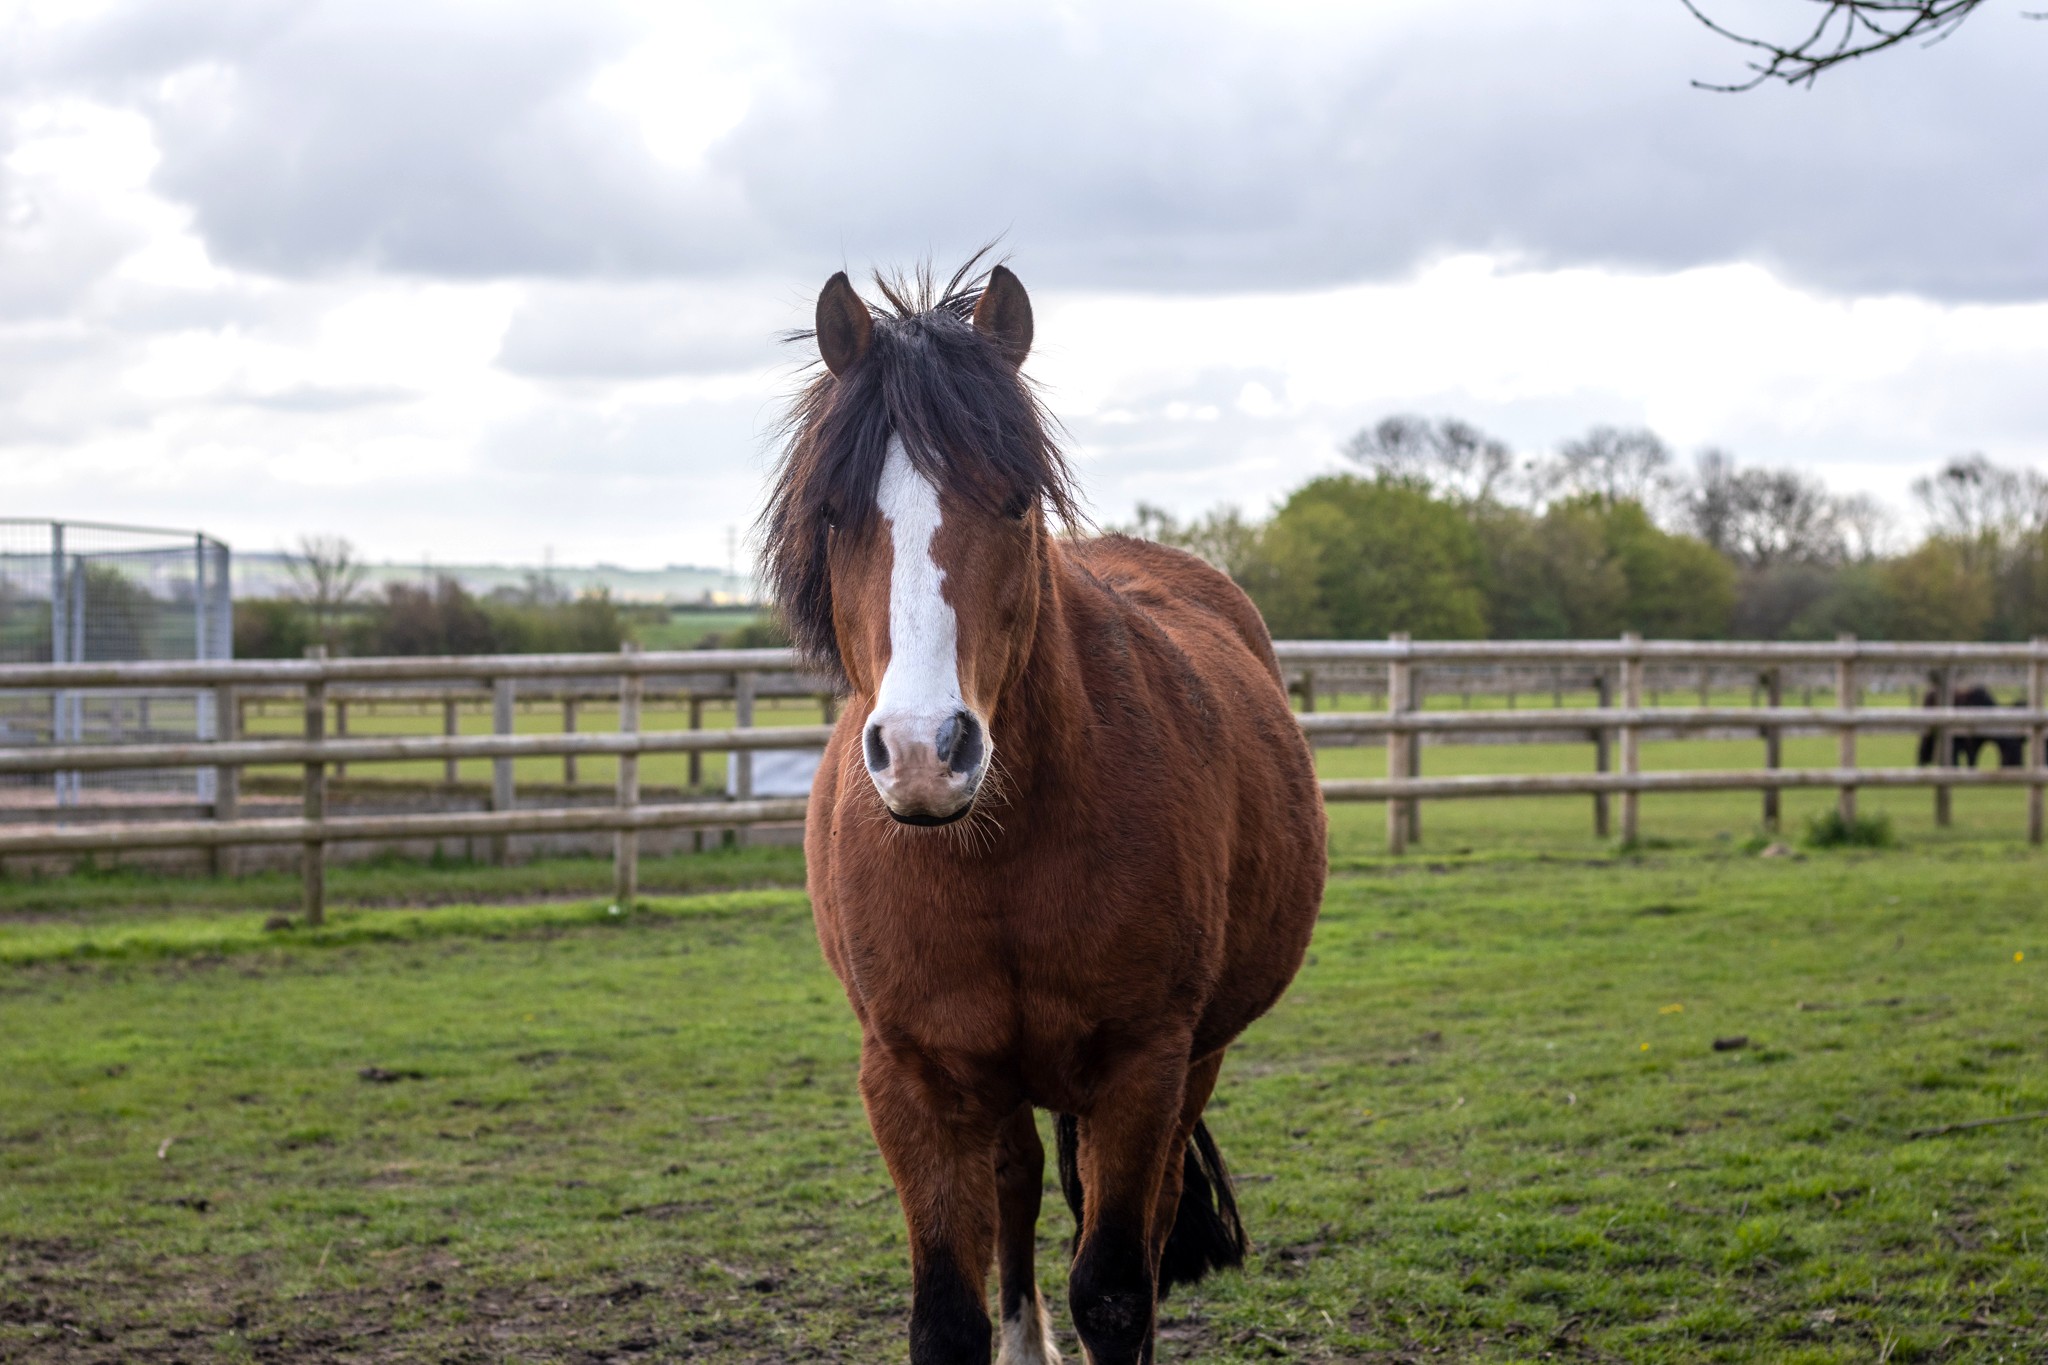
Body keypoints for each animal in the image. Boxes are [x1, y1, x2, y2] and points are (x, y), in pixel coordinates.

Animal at [761, 258, 1327, 1365]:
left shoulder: (1141, 1066)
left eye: (1016, 500)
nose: (925, 751)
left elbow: (1114, 1288)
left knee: (1146, 1217)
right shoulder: (911, 1077)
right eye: (836, 510)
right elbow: (949, 1312)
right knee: (1014, 1186)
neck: (997, 858)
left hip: (1193, 1059)